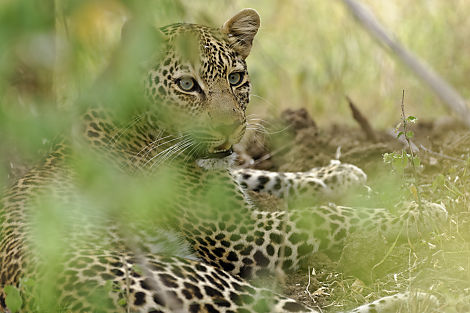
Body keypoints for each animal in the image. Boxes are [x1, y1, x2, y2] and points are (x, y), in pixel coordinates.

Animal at [0, 7, 448, 312]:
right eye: (186, 85)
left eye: (235, 78)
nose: (232, 128)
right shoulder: (242, 239)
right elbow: (331, 217)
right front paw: (417, 212)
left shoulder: (227, 187)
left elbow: (262, 175)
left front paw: (337, 173)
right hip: (195, 277)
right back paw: (420, 298)